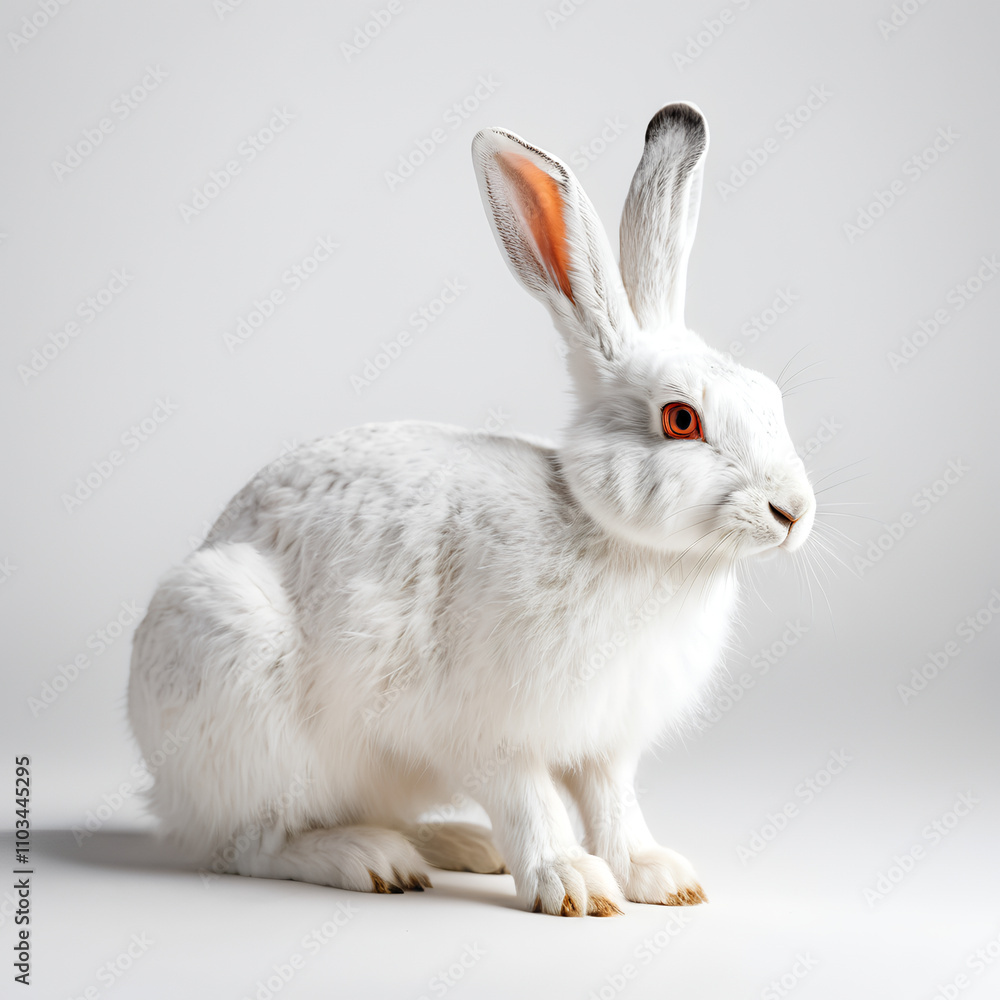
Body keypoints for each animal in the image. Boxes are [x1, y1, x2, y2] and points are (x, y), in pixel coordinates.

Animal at [127, 102, 815, 917]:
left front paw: (659, 878)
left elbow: (615, 805)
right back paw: (372, 860)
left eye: (769, 396)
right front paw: (573, 884)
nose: (794, 511)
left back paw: (459, 845)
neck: (619, 540)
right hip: (248, 701)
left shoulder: (605, 744)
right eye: (681, 420)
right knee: (251, 844)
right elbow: (532, 804)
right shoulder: (489, 737)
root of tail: (166, 793)